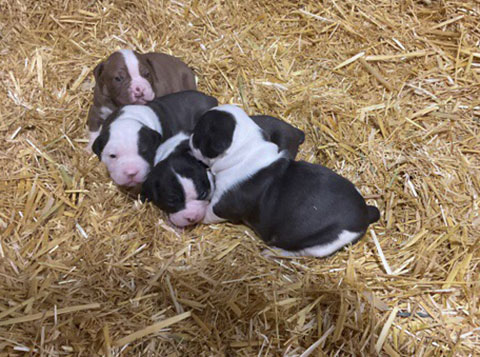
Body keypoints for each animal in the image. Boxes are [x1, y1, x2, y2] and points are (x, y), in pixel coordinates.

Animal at [189, 104, 380, 258]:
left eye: (197, 134)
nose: (189, 138)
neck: (245, 153)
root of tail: (366, 213)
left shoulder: (222, 205)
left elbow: (208, 212)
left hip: (322, 245)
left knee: (299, 252)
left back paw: (272, 252)